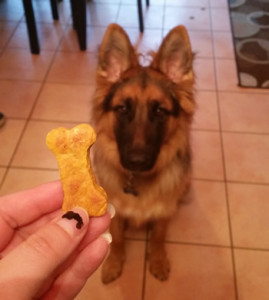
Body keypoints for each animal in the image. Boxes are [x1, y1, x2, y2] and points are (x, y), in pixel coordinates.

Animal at [91, 24, 194, 284]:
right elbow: (117, 238)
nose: (136, 162)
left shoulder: (164, 212)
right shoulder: (115, 213)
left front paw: (157, 261)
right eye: (122, 108)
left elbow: (158, 237)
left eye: (160, 111)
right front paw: (113, 263)